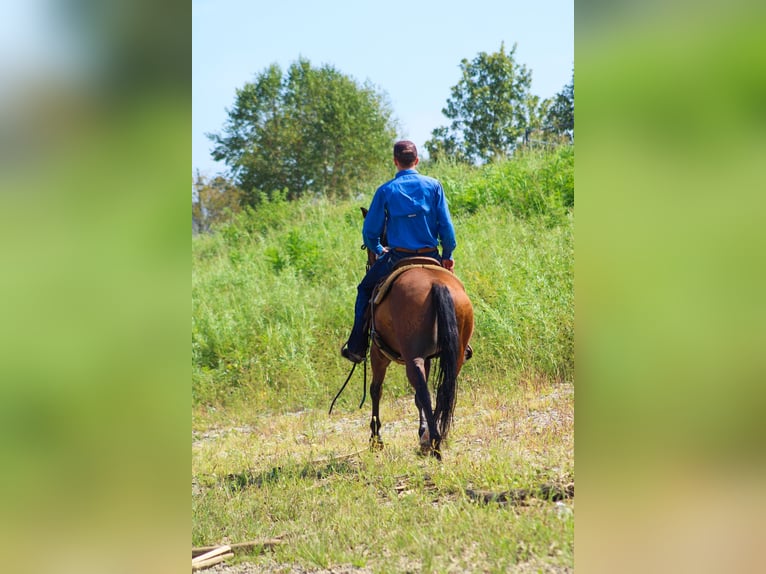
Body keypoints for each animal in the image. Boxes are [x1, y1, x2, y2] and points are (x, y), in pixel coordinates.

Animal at [360, 209, 474, 462]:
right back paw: (433, 438)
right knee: (441, 389)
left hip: (410, 357)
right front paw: (421, 432)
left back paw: (434, 444)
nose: (371, 262)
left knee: (423, 390)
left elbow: (376, 389)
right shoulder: (430, 357)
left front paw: (375, 440)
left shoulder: (378, 353)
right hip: (455, 354)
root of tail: (436, 284)